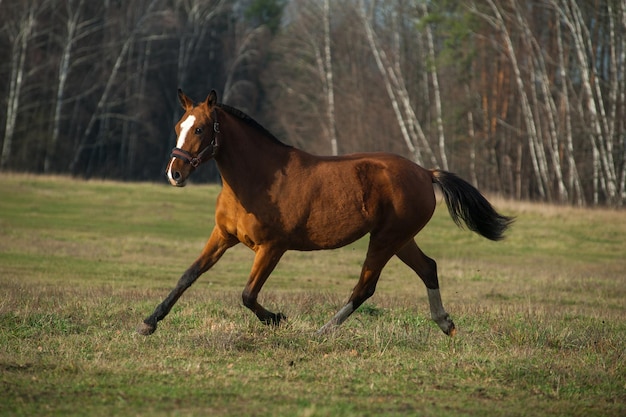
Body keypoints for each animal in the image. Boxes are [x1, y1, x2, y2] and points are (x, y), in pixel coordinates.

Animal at [134, 89, 510, 336]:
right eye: (178, 126)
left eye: (200, 129)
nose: (174, 173)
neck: (258, 179)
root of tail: (424, 172)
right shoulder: (223, 236)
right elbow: (188, 276)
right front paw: (149, 322)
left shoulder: (272, 248)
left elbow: (247, 294)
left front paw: (277, 319)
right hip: (401, 239)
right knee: (428, 268)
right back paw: (445, 324)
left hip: (385, 240)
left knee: (365, 287)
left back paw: (322, 331)